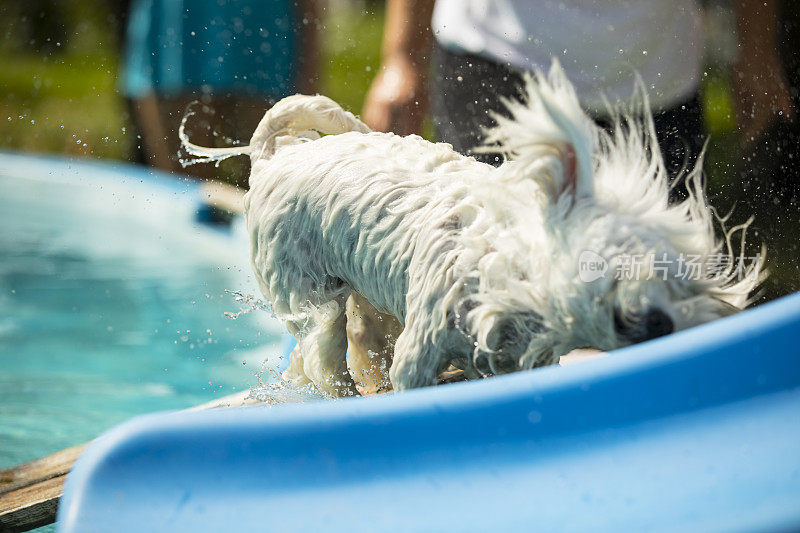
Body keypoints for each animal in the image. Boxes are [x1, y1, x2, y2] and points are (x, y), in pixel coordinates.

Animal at [181, 61, 764, 394]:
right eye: (617, 261)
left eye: (684, 287)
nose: (659, 323)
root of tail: (273, 158)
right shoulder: (419, 353)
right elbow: (409, 380)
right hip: (308, 295)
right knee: (322, 355)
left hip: (367, 298)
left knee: (358, 341)